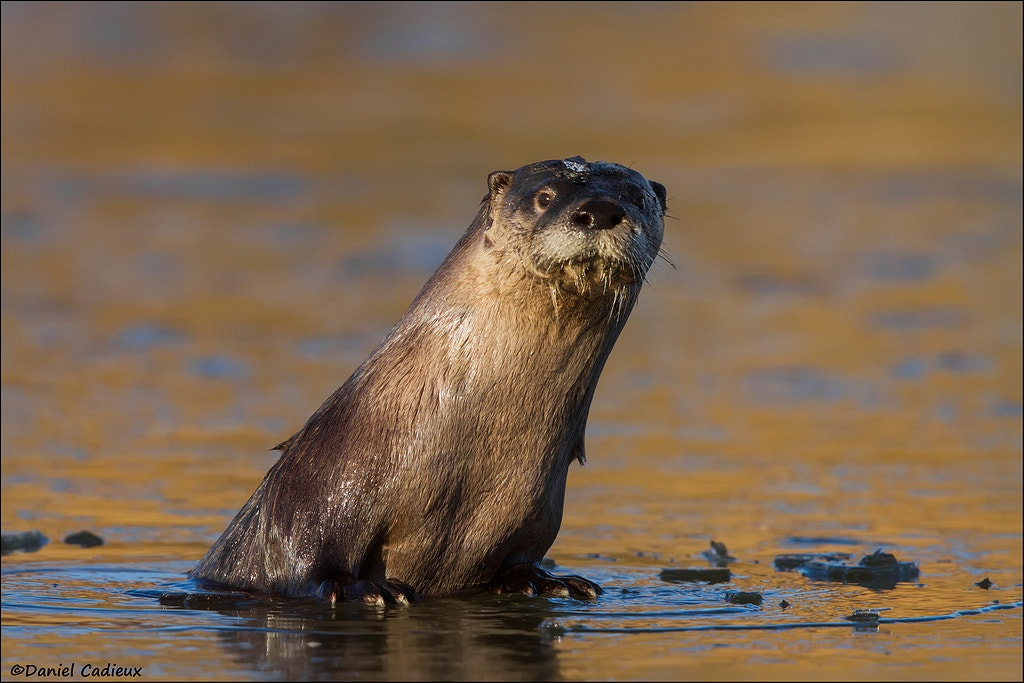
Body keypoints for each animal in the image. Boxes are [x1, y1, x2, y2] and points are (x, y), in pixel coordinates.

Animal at [190, 156, 667, 605]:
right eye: (545, 197)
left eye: (636, 198)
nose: (600, 211)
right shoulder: (313, 485)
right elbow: (304, 553)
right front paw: (361, 588)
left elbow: (521, 561)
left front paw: (549, 581)